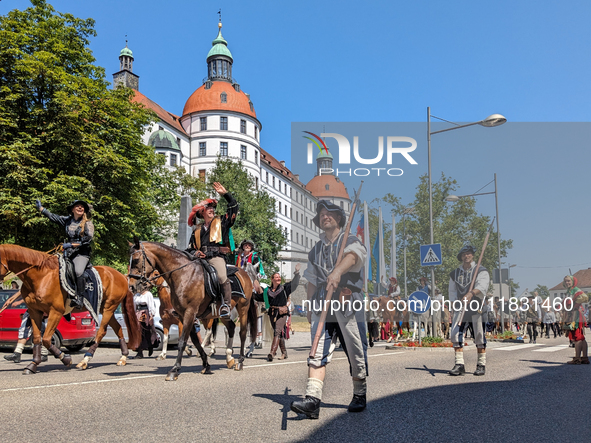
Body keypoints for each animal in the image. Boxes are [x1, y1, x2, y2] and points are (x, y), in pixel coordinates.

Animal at [0, 243, 140, 374]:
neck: (41, 276)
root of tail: (121, 276)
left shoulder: (55, 312)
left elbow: (46, 339)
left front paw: (66, 359)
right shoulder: (35, 312)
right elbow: (37, 339)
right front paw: (33, 364)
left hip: (108, 308)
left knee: (101, 332)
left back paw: (85, 361)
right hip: (104, 309)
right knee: (118, 328)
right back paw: (123, 358)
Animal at [127, 239, 256, 382]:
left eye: (136, 260)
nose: (131, 286)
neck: (184, 275)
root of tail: (245, 274)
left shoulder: (189, 313)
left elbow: (182, 341)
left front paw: (174, 370)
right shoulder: (183, 315)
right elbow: (194, 341)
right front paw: (206, 365)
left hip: (243, 308)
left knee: (242, 332)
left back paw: (240, 361)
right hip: (222, 314)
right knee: (231, 328)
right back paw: (229, 358)